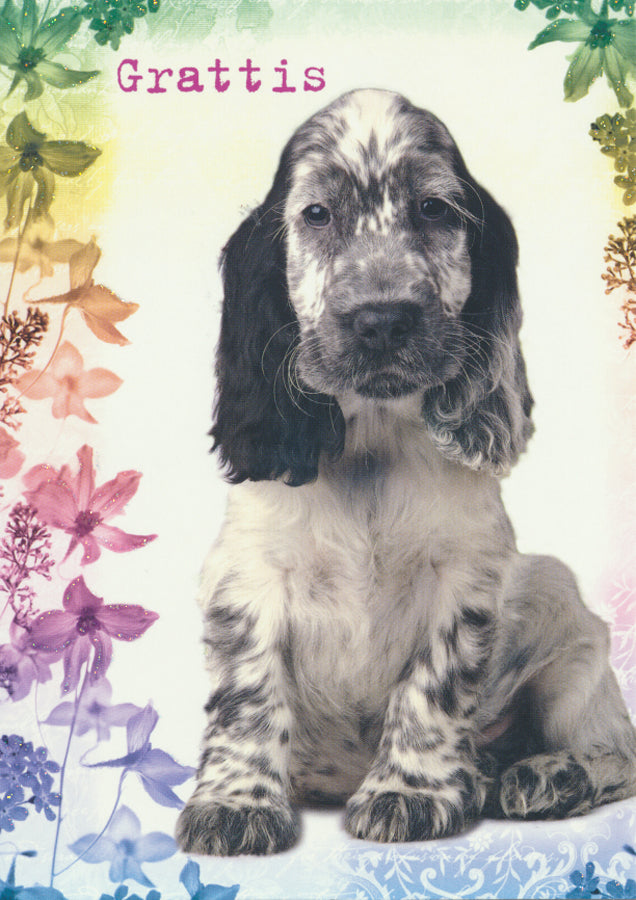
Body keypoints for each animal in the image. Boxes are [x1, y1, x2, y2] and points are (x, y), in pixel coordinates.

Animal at [176, 89, 636, 855]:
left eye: (433, 209)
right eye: (317, 214)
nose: (382, 319)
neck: (374, 443)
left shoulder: (466, 575)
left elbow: (434, 685)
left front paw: (410, 793)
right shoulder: (247, 574)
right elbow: (248, 693)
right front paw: (236, 804)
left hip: (567, 626)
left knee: (617, 752)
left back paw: (545, 776)